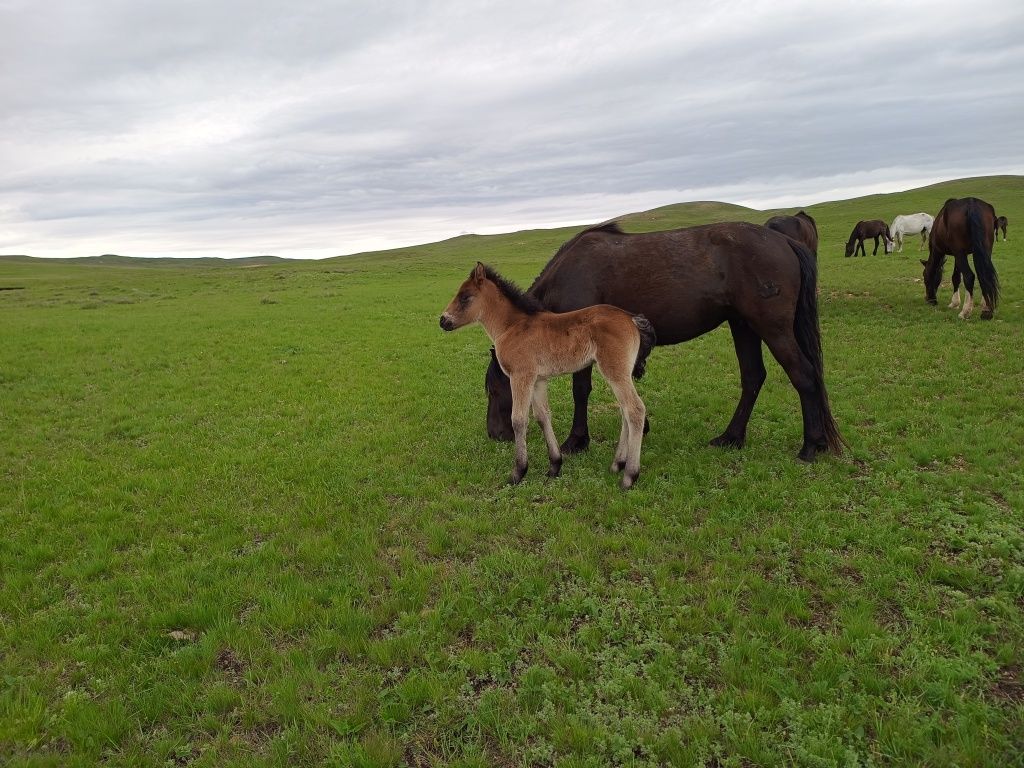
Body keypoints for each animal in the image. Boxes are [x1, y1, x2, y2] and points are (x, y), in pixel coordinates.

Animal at [442, 264, 655, 489]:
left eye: (465, 297)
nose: (443, 320)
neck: (512, 326)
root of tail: (631, 318)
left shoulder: (521, 376)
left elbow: (518, 420)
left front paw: (518, 472)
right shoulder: (538, 380)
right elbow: (543, 417)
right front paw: (555, 466)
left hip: (614, 370)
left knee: (635, 410)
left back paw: (629, 476)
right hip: (619, 373)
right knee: (625, 411)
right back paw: (616, 464)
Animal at [483, 221, 843, 462]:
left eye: (494, 390)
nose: (495, 434)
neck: (569, 275)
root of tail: (783, 240)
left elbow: (581, 391)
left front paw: (576, 440)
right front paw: (640, 428)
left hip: (771, 328)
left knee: (804, 376)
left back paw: (811, 445)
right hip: (743, 325)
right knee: (753, 377)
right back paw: (731, 437)